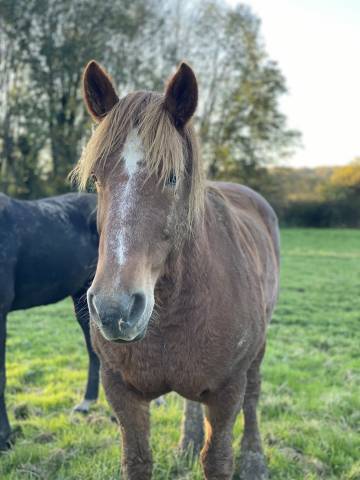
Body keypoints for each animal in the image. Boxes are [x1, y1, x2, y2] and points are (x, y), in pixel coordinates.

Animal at [74, 61, 282, 480]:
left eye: (171, 177)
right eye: (97, 179)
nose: (115, 310)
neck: (170, 311)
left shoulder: (226, 392)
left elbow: (217, 458)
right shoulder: (121, 392)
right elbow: (137, 460)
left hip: (257, 351)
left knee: (254, 394)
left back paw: (254, 456)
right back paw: (187, 440)